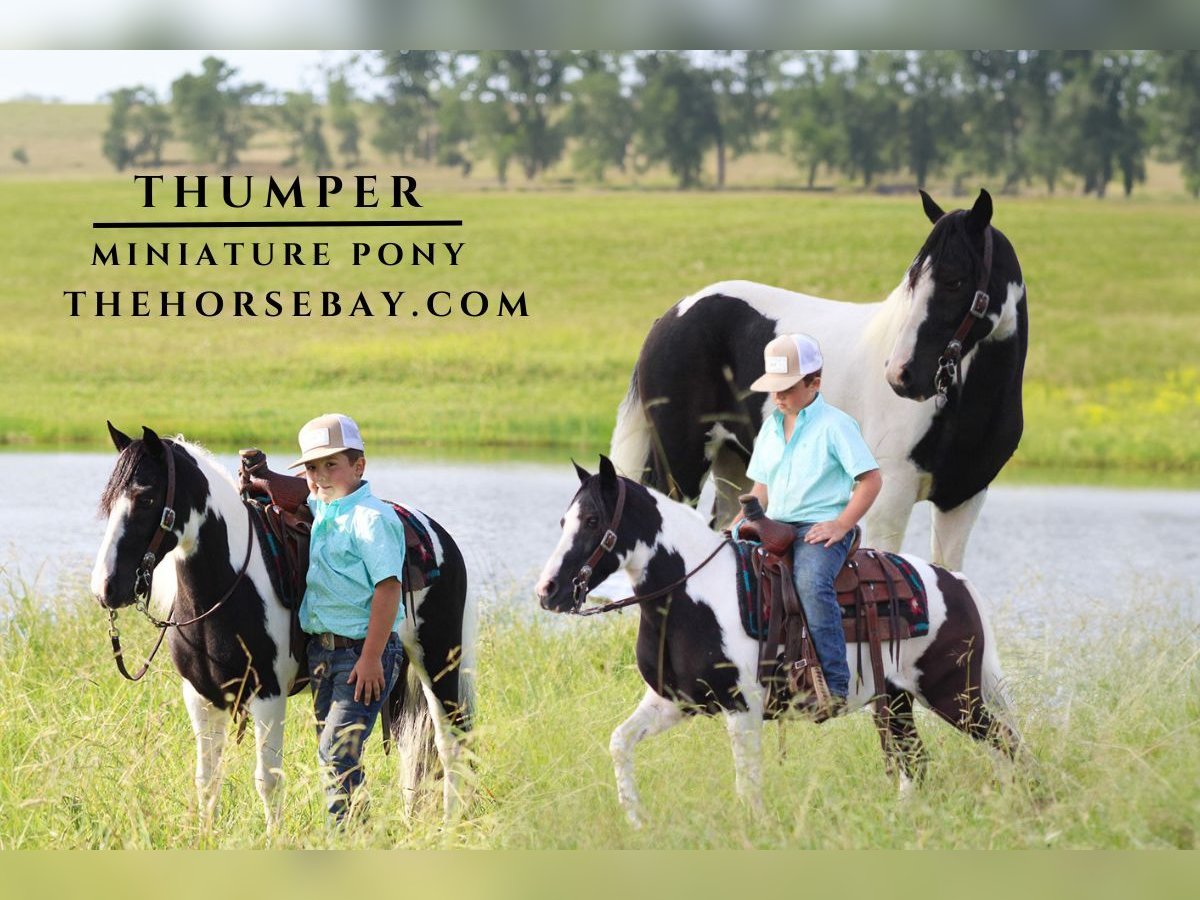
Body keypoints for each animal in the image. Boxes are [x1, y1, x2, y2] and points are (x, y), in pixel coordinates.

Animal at [91, 427, 475, 830]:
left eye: (147, 497)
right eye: (109, 500)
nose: (106, 587)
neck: (229, 583)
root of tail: (436, 533)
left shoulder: (268, 696)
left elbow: (268, 781)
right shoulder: (201, 698)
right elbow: (206, 780)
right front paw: (205, 835)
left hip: (439, 663)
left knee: (450, 744)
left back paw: (450, 825)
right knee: (409, 745)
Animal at [540, 458, 1017, 830]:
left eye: (593, 521)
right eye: (563, 521)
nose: (548, 591)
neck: (695, 592)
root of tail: (955, 583)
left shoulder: (742, 709)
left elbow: (747, 784)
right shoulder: (675, 702)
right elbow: (620, 742)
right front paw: (637, 820)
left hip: (954, 694)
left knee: (1005, 742)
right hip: (898, 703)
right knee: (916, 764)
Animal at [614, 189, 1027, 571]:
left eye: (955, 281)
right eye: (912, 279)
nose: (901, 375)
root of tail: (673, 315)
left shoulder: (962, 498)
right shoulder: (891, 495)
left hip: (735, 465)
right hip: (679, 463)